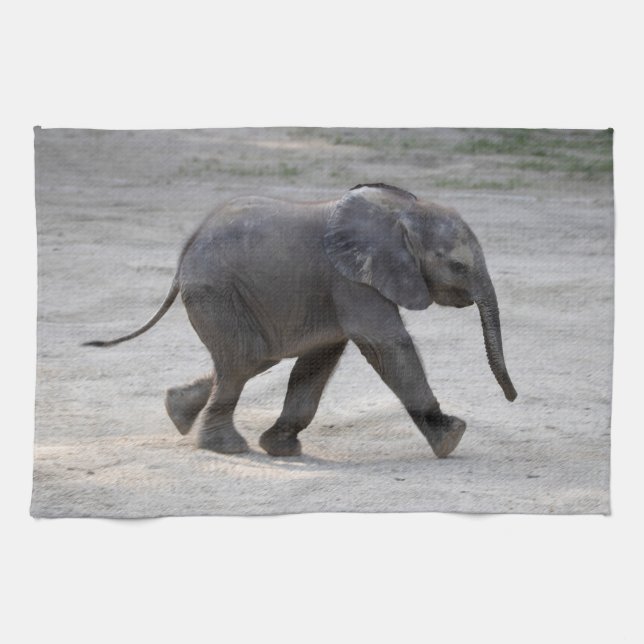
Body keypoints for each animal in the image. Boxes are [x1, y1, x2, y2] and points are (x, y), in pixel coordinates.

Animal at [85, 183, 517, 458]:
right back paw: (226, 448)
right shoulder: (351, 279)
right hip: (216, 290)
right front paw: (452, 440)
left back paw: (177, 412)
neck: (402, 213)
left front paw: (281, 449)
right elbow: (385, 342)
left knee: (251, 359)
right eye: (458, 266)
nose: (513, 398)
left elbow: (320, 359)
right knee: (246, 359)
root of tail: (184, 251)